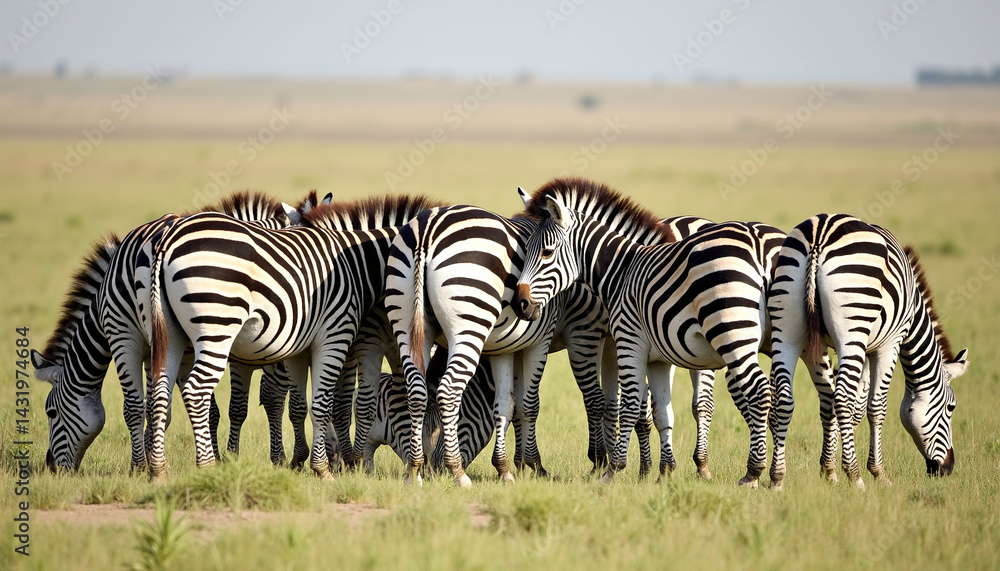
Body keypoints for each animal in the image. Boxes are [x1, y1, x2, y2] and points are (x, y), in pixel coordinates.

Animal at [146, 194, 442, 480]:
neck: (358, 264)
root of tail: (168, 240)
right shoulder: (338, 336)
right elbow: (326, 404)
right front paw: (329, 466)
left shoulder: (302, 347)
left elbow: (304, 404)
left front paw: (316, 460)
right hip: (217, 326)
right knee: (197, 391)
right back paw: (207, 465)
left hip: (171, 336)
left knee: (160, 394)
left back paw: (157, 470)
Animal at [512, 184, 783, 487]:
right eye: (524, 250)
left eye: (546, 253)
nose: (520, 303)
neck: (621, 268)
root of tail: (758, 246)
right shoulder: (645, 352)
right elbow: (655, 410)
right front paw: (659, 470)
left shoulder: (611, 338)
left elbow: (620, 405)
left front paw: (609, 466)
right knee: (776, 396)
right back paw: (770, 473)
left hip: (728, 333)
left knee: (756, 391)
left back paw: (752, 471)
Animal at [766, 214, 967, 489]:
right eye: (951, 407)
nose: (947, 468)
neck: (914, 313)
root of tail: (819, 233)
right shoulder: (889, 342)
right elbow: (875, 407)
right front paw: (877, 472)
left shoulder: (859, 347)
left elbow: (854, 407)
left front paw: (829, 467)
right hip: (852, 328)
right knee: (841, 397)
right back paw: (856, 476)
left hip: (788, 331)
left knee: (785, 399)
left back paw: (777, 477)